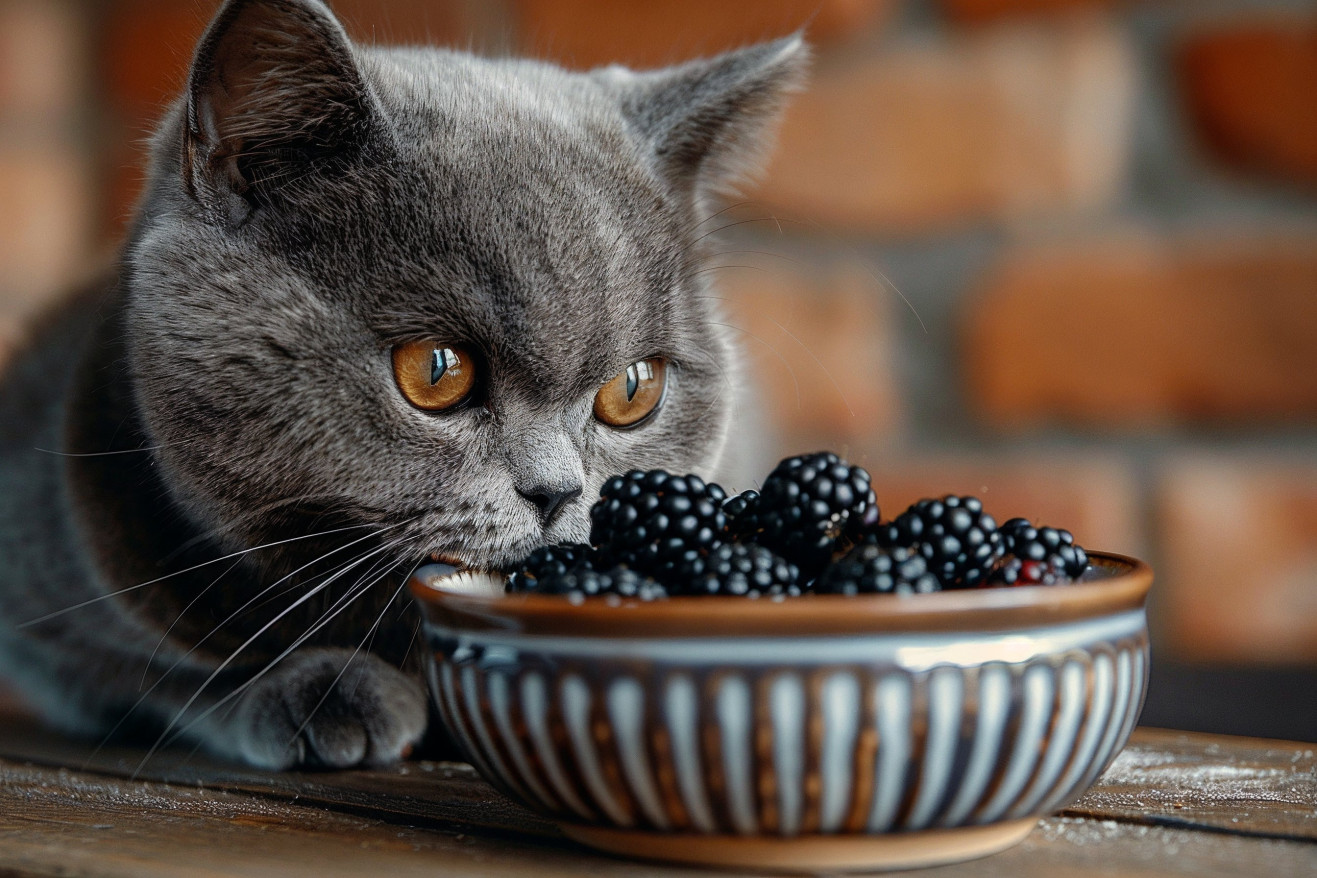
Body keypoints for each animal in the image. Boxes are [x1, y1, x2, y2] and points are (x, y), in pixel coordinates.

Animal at [0, 0, 800, 768]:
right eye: (436, 370)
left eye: (633, 389)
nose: (558, 492)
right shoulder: (45, 608)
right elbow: (168, 673)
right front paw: (324, 690)